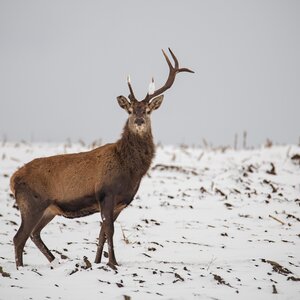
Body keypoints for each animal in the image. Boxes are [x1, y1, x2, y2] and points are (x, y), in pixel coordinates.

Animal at [10, 48, 193, 270]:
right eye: (130, 110)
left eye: (148, 110)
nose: (139, 120)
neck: (130, 171)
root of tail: (13, 179)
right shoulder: (107, 193)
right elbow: (109, 230)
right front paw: (113, 263)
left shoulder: (120, 202)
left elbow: (102, 233)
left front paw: (97, 262)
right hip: (32, 203)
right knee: (19, 237)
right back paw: (21, 268)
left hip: (48, 209)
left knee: (34, 234)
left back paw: (54, 260)